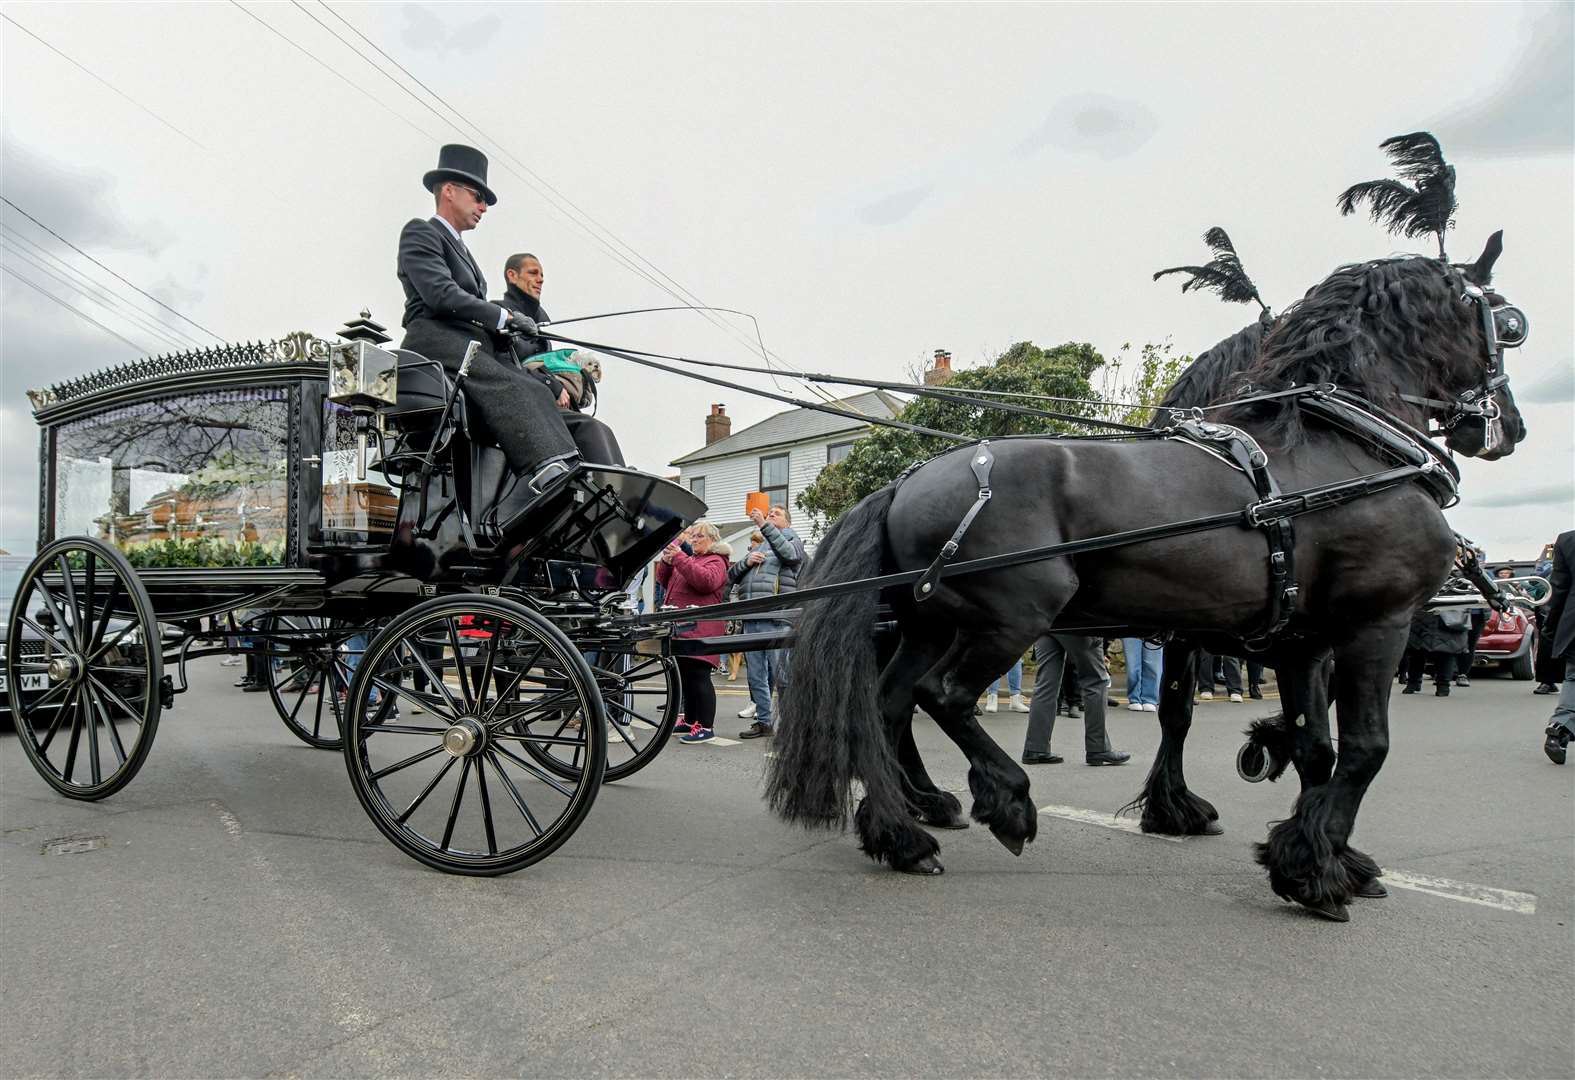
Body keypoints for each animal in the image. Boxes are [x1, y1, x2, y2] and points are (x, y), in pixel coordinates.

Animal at [762, 251, 1524, 919]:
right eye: (1506, 323)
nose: (1509, 427)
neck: (1342, 452)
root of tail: (905, 482)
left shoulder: (1300, 642)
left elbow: (1310, 748)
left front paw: (1322, 855)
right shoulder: (1376, 626)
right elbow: (1364, 749)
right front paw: (1314, 869)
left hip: (930, 624)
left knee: (888, 706)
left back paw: (902, 833)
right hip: (1010, 620)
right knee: (940, 697)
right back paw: (1002, 801)